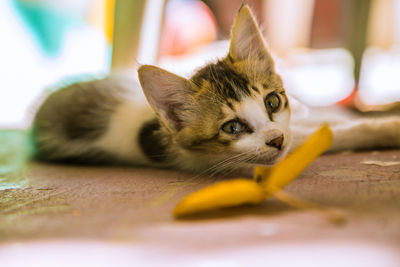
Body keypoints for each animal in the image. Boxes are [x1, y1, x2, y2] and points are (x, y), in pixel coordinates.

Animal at [32, 4, 398, 176]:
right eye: (232, 128)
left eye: (272, 101)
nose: (276, 139)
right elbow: (328, 135)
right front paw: (383, 130)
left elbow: (322, 121)